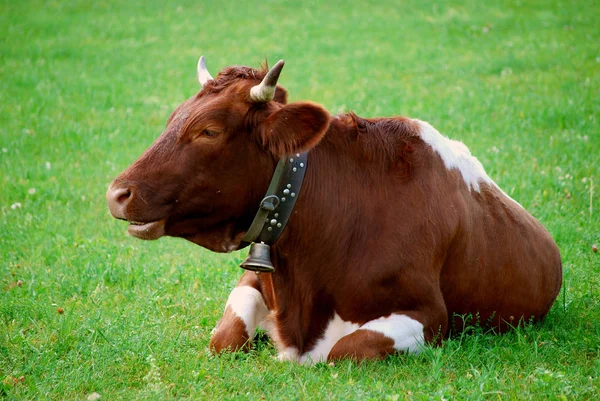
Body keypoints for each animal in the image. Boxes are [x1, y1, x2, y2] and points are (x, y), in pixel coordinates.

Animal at [106, 57, 564, 366]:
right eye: (172, 118)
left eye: (208, 130)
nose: (116, 193)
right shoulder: (255, 280)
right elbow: (225, 337)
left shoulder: (431, 316)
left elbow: (343, 350)